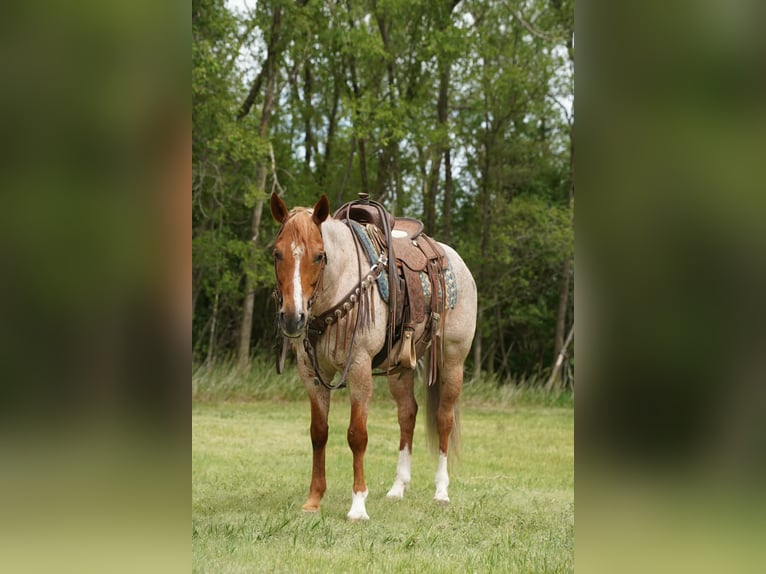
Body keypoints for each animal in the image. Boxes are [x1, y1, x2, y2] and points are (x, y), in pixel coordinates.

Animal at [269, 192, 477, 520]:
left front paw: (358, 505)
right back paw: (397, 488)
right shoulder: (311, 372)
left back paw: (441, 491)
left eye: (319, 255)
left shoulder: (359, 367)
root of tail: (454, 259)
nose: (293, 318)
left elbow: (357, 435)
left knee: (444, 419)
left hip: (452, 360)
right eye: (277, 254)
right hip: (400, 366)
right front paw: (313, 500)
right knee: (407, 414)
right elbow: (318, 432)